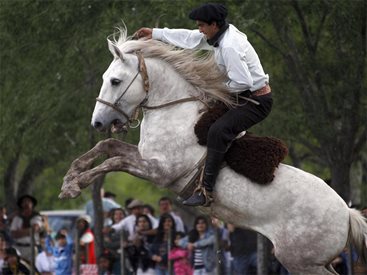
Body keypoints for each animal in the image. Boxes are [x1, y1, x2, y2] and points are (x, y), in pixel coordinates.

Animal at [59, 27, 366, 274]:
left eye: (115, 81)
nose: (98, 122)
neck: (176, 114)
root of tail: (347, 213)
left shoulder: (158, 171)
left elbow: (113, 162)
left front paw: (75, 185)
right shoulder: (144, 157)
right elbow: (107, 146)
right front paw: (70, 179)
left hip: (299, 261)